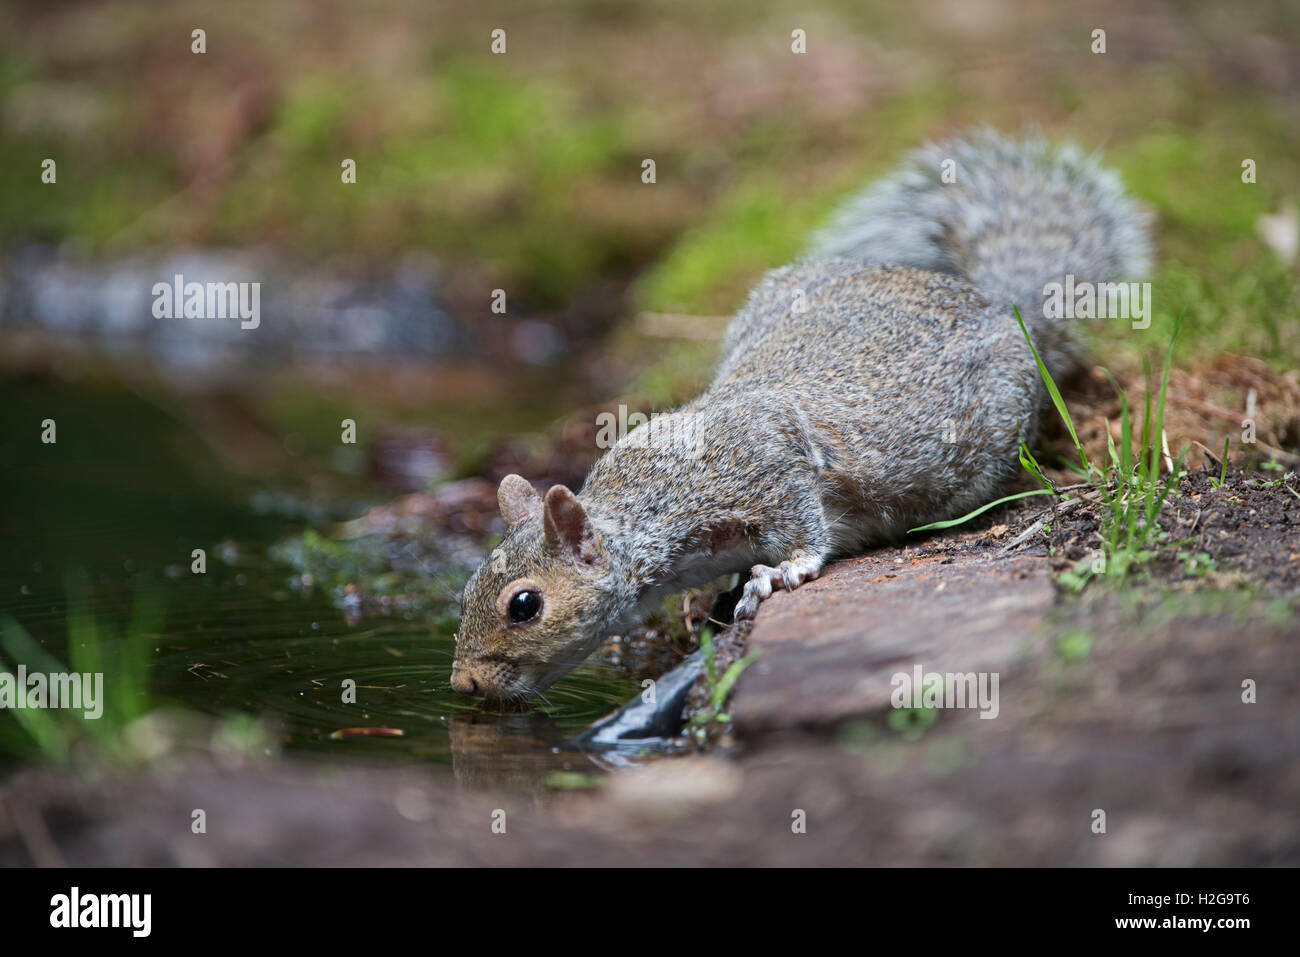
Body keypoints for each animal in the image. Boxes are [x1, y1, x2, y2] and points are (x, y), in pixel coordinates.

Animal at [452, 129, 1152, 702]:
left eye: (524, 605)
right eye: (467, 589)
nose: (464, 684)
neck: (654, 508)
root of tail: (1003, 308)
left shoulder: (764, 464)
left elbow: (803, 521)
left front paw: (782, 571)